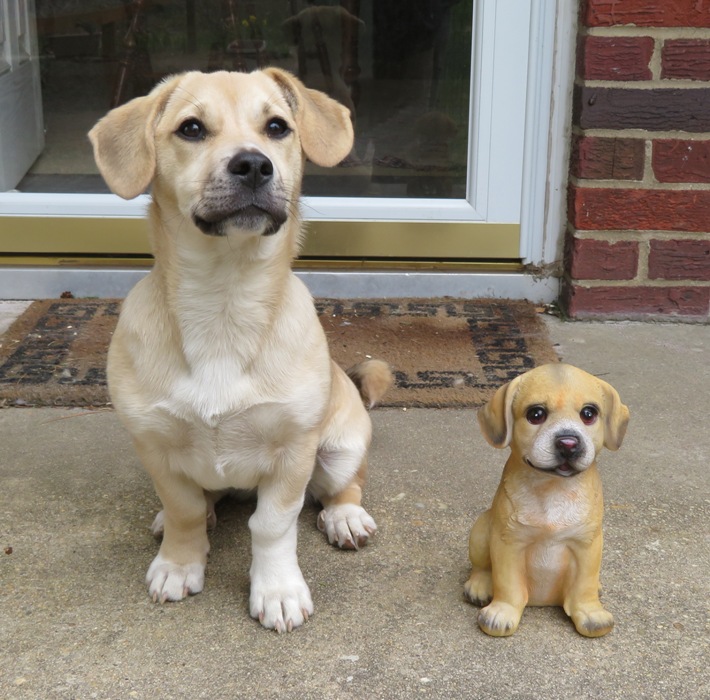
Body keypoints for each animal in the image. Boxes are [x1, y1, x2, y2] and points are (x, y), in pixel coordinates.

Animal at [87, 68, 394, 632]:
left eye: (277, 126)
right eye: (190, 128)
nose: (253, 164)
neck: (223, 301)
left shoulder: (293, 453)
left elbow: (273, 524)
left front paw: (277, 589)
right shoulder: (155, 449)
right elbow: (184, 509)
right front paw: (179, 563)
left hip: (341, 449)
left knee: (343, 487)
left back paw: (345, 516)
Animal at [464, 364, 632, 636]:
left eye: (589, 413)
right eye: (536, 414)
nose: (568, 443)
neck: (554, 488)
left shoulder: (587, 545)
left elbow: (583, 585)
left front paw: (591, 612)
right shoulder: (508, 543)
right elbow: (508, 583)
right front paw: (502, 612)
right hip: (480, 530)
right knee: (481, 567)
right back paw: (479, 585)